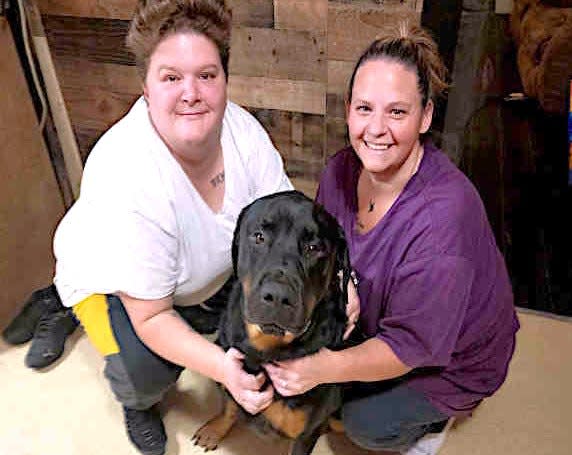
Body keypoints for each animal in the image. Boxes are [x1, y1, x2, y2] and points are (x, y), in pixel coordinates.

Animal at [194, 191, 350, 455]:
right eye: (259, 236)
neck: (265, 350)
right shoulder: (232, 374)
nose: (278, 296)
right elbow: (229, 405)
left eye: (314, 248)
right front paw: (216, 429)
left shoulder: (304, 433)